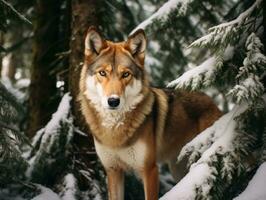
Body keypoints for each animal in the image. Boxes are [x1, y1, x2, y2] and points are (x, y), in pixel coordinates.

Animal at [79, 27, 222, 200]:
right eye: (102, 73)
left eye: (125, 74)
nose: (113, 101)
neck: (115, 131)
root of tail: (211, 100)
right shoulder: (113, 171)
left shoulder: (150, 170)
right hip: (178, 169)